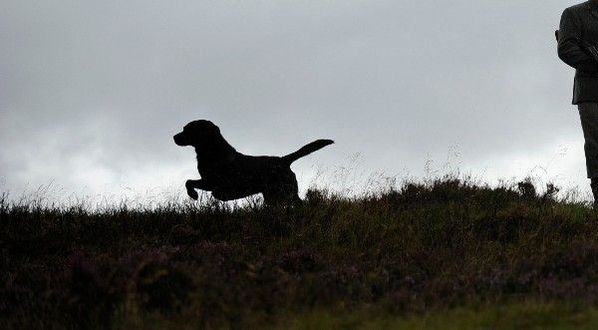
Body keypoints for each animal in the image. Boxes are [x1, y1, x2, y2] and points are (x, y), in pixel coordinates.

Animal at [173, 120, 336, 205]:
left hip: (283, 193)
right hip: (276, 196)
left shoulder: (212, 183)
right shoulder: (208, 182)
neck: (213, 151)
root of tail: (284, 160)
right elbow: (189, 181)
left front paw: (193, 194)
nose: (174, 137)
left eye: (187, 129)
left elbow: (189, 182)